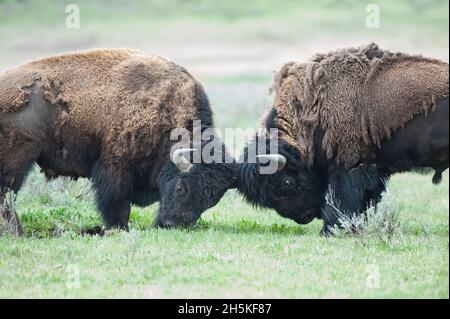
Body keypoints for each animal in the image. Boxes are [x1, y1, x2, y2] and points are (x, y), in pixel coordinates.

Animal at [0, 48, 237, 236]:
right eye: (180, 187)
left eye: (210, 201)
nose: (172, 225)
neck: (167, 110)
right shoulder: (115, 167)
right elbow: (118, 203)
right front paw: (118, 228)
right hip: (18, 161)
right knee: (7, 196)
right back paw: (17, 233)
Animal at [237, 43, 448, 235]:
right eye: (267, 197)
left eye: (286, 182)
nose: (304, 217)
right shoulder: (375, 170)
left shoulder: (347, 167)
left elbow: (341, 200)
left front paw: (330, 230)